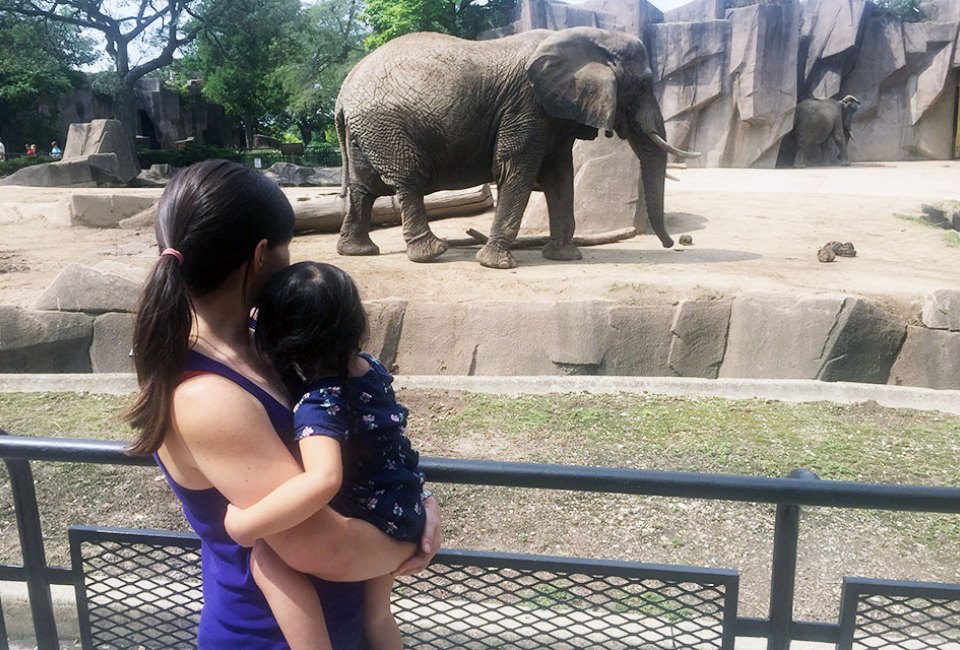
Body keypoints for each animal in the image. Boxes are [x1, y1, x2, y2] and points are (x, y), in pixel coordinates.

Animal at [336, 27, 696, 268]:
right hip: (385, 125)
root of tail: (342, 95)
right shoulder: (525, 104)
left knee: (364, 187)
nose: (673, 243)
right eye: (643, 85)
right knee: (408, 179)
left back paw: (358, 252)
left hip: (367, 131)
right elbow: (515, 169)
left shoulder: (553, 113)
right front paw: (498, 265)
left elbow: (558, 175)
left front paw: (564, 256)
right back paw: (431, 253)